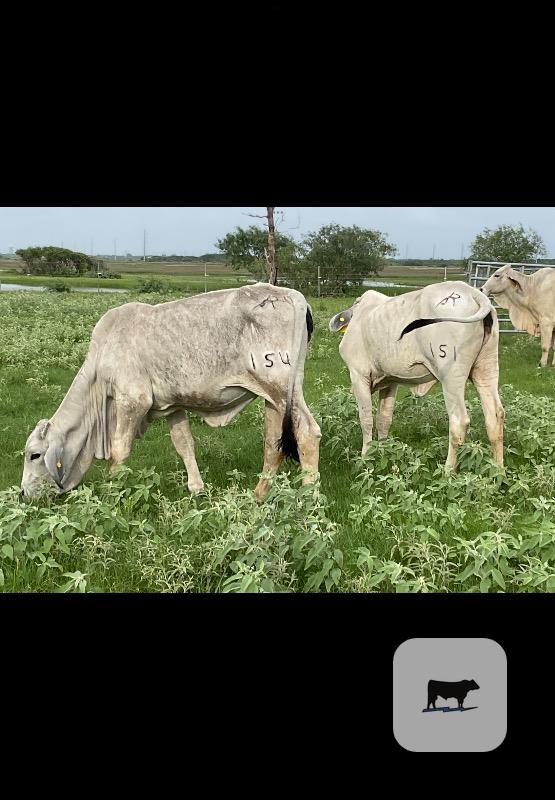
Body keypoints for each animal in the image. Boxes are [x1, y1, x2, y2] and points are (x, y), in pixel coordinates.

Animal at [21, 283, 321, 501]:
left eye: (34, 454)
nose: (23, 493)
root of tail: (294, 297)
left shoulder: (133, 401)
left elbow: (119, 450)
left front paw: (111, 493)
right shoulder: (172, 406)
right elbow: (184, 444)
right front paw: (197, 489)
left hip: (280, 385)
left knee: (306, 431)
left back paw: (308, 498)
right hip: (276, 397)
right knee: (273, 441)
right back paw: (259, 495)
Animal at [329, 282, 505, 472]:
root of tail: (470, 291)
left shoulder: (358, 374)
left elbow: (366, 418)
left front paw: (365, 457)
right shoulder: (390, 381)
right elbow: (384, 419)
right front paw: (382, 451)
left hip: (452, 375)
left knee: (459, 421)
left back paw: (448, 470)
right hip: (486, 368)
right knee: (495, 416)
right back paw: (498, 470)